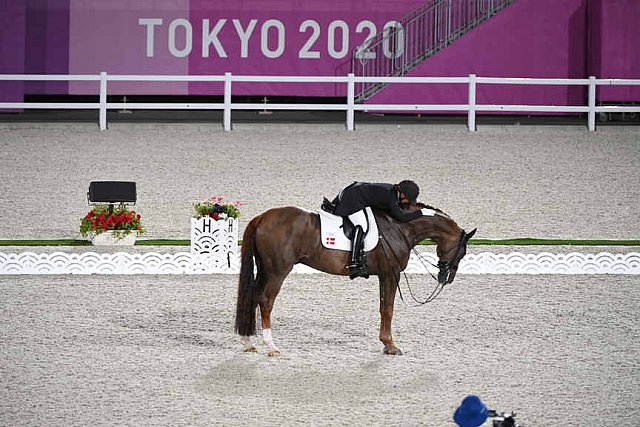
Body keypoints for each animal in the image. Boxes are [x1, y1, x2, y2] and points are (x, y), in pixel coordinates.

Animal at [235, 202, 476, 356]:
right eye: (462, 251)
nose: (447, 278)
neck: (399, 227)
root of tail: (262, 217)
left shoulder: (385, 275)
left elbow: (383, 307)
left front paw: (386, 344)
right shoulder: (391, 274)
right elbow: (388, 309)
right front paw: (390, 346)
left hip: (265, 270)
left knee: (252, 297)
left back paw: (247, 342)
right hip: (277, 272)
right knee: (266, 301)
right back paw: (271, 346)